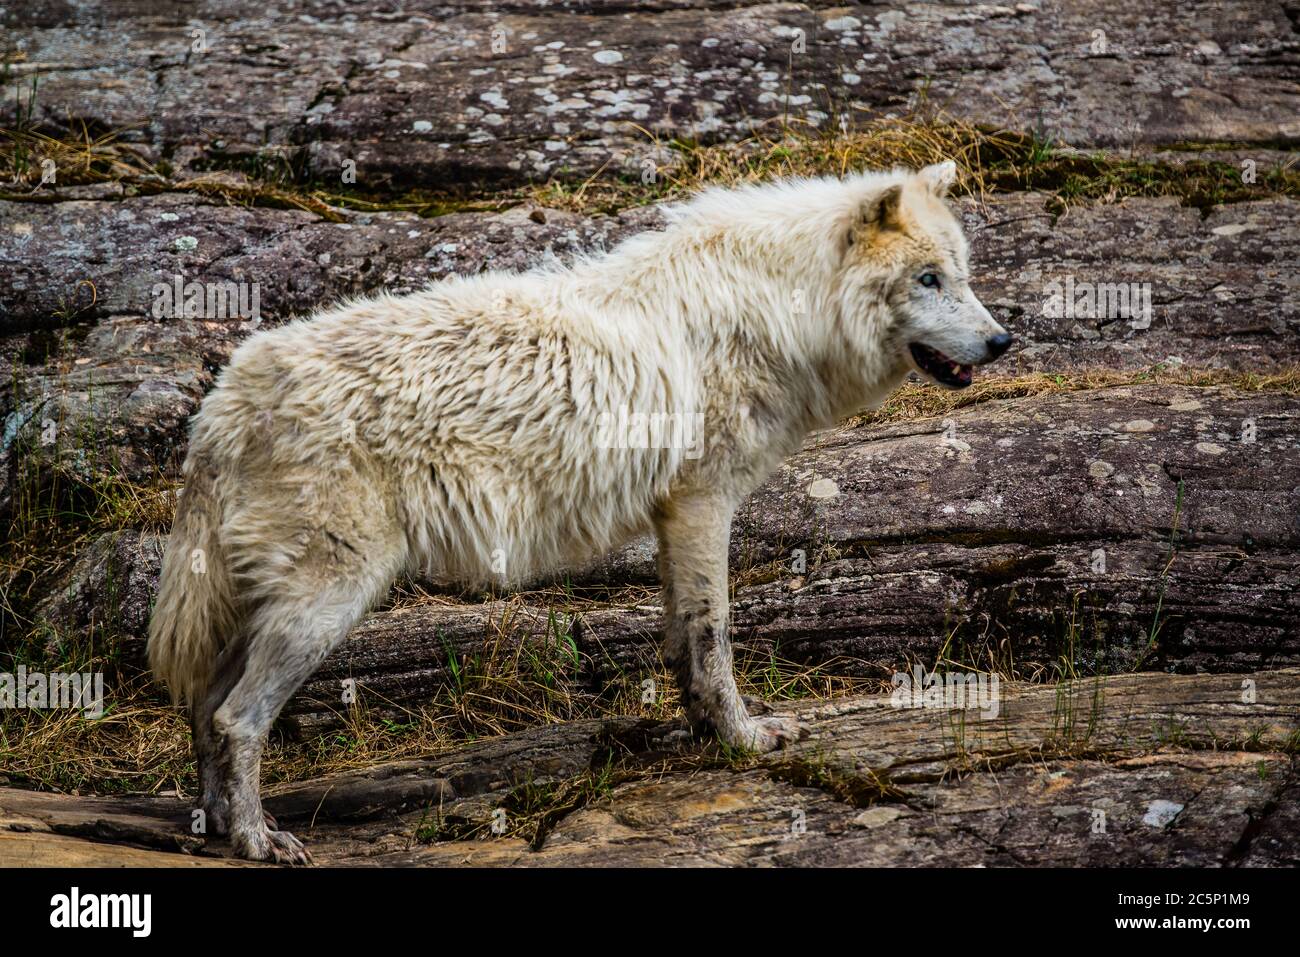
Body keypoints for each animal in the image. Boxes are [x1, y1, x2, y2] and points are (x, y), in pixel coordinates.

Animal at [144, 160, 1013, 863]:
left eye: (964, 274)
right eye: (928, 279)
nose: (1003, 340)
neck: (780, 308)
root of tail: (221, 403)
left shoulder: (673, 514)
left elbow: (684, 643)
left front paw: (701, 732)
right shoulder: (705, 500)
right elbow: (716, 637)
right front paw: (743, 739)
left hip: (271, 604)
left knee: (204, 707)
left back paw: (216, 828)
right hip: (329, 601)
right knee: (237, 718)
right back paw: (259, 839)